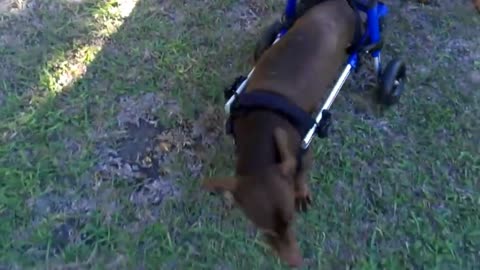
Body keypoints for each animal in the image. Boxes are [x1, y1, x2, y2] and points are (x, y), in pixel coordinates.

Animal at [202, 0, 356, 266]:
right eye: (266, 232)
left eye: (292, 220)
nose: (296, 263)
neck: (261, 128)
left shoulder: (303, 153)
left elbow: (301, 176)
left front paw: (302, 194)